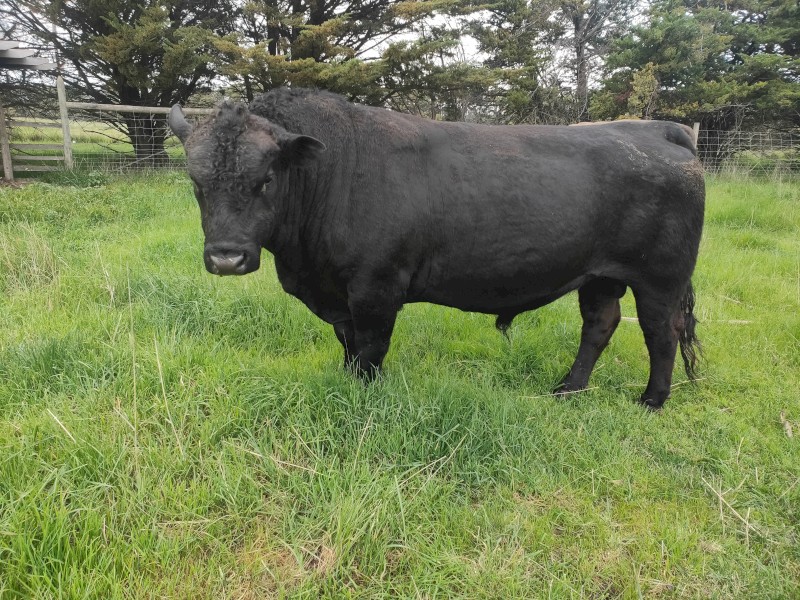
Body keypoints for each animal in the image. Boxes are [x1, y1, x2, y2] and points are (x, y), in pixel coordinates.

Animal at [168, 88, 704, 409]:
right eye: (196, 183)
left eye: (266, 179)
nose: (226, 257)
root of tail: (657, 129)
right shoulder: (338, 295)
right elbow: (348, 345)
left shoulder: (376, 287)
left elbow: (370, 348)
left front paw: (365, 397)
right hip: (600, 276)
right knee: (599, 326)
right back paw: (567, 390)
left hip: (660, 280)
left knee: (662, 333)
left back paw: (651, 401)